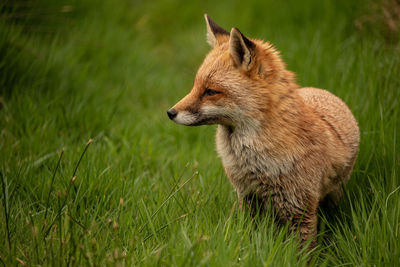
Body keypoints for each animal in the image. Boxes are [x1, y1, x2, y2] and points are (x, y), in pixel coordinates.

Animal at [167, 14, 360, 248]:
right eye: (195, 86)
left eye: (210, 92)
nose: (170, 112)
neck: (255, 164)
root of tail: (323, 91)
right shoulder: (248, 198)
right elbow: (250, 239)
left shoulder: (300, 209)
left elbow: (302, 251)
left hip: (334, 194)